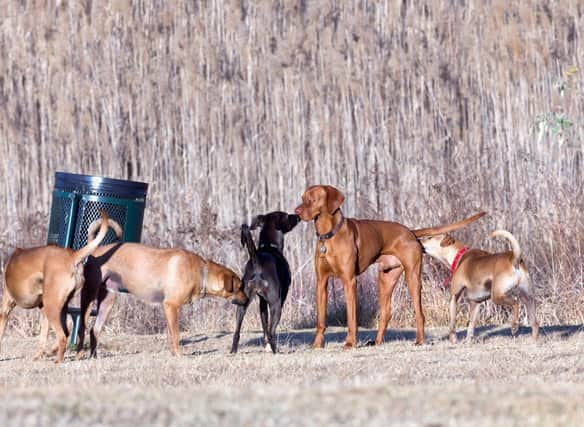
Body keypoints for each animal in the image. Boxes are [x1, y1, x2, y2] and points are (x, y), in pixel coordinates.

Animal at [0, 210, 110, 362]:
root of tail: (72, 255)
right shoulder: (42, 311)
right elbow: (42, 337)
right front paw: (38, 356)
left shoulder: (5, 309)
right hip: (69, 306)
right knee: (76, 330)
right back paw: (77, 354)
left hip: (52, 307)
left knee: (63, 336)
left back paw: (58, 360)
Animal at [74, 222, 248, 360]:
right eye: (240, 287)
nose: (247, 300)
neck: (201, 272)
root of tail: (96, 251)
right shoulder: (171, 306)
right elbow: (176, 335)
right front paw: (179, 355)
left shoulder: (168, 310)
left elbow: (171, 335)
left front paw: (173, 354)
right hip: (89, 296)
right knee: (82, 328)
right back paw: (80, 355)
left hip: (108, 299)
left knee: (94, 330)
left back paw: (94, 357)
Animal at [230, 211, 298, 354]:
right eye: (287, 216)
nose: (297, 216)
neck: (269, 245)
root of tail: (257, 262)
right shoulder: (279, 299)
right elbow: (269, 329)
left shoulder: (262, 303)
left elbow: (264, 325)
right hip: (276, 305)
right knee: (272, 333)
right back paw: (276, 351)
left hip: (242, 304)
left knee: (237, 332)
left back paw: (233, 351)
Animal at [294, 186, 486, 350]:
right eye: (302, 198)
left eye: (313, 199)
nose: (296, 211)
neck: (329, 236)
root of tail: (409, 231)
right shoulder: (321, 282)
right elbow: (320, 319)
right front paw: (317, 345)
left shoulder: (349, 281)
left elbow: (351, 318)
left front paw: (350, 343)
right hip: (385, 278)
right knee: (385, 314)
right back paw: (377, 342)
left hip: (412, 278)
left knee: (419, 313)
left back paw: (419, 340)